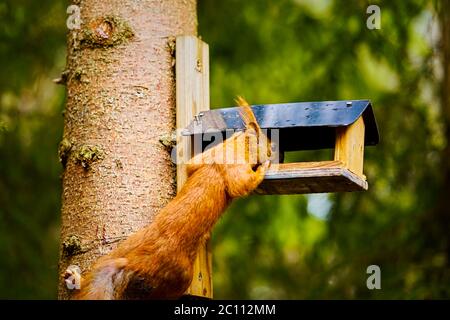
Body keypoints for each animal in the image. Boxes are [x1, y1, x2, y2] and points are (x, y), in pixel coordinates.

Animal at [67, 96, 270, 298]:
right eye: (266, 145)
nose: (272, 152)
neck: (234, 148)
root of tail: (135, 260)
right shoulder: (234, 167)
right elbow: (241, 185)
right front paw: (264, 167)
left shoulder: (205, 158)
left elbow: (191, 165)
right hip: (177, 278)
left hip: (124, 247)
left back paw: (75, 278)